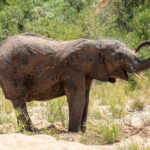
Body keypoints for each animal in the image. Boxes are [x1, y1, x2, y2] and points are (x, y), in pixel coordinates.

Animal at [0, 33, 150, 132]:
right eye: (119, 56)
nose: (139, 46)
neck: (97, 43)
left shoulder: (86, 72)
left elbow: (86, 99)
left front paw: (83, 131)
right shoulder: (72, 71)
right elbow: (77, 98)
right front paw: (74, 132)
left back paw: (26, 131)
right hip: (10, 71)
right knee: (19, 100)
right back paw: (32, 131)